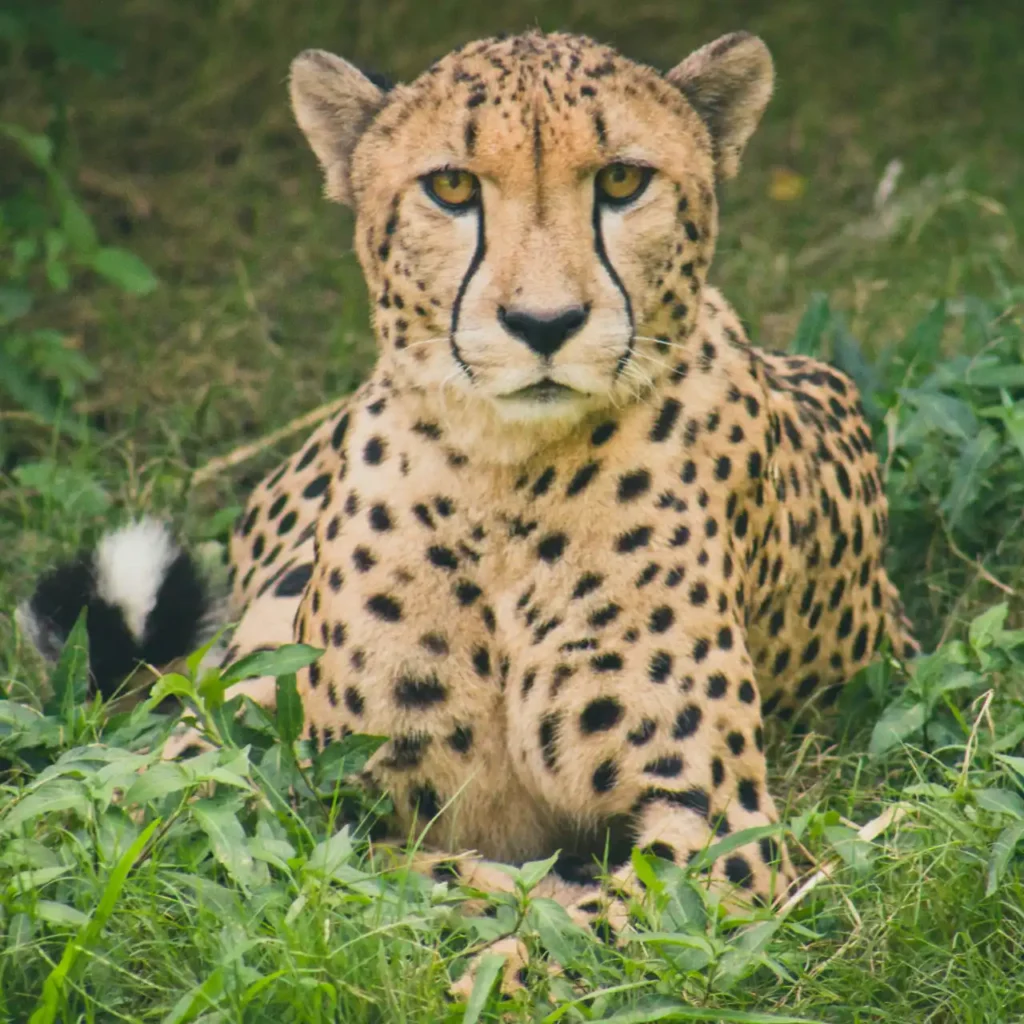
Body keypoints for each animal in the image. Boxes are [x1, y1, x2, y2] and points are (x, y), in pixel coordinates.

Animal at [21, 27, 917, 995]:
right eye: (451, 186)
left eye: (622, 180)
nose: (544, 323)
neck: (507, 480)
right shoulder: (299, 778)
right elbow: (330, 850)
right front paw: (509, 893)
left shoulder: (720, 829)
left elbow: (589, 934)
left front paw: (505, 952)